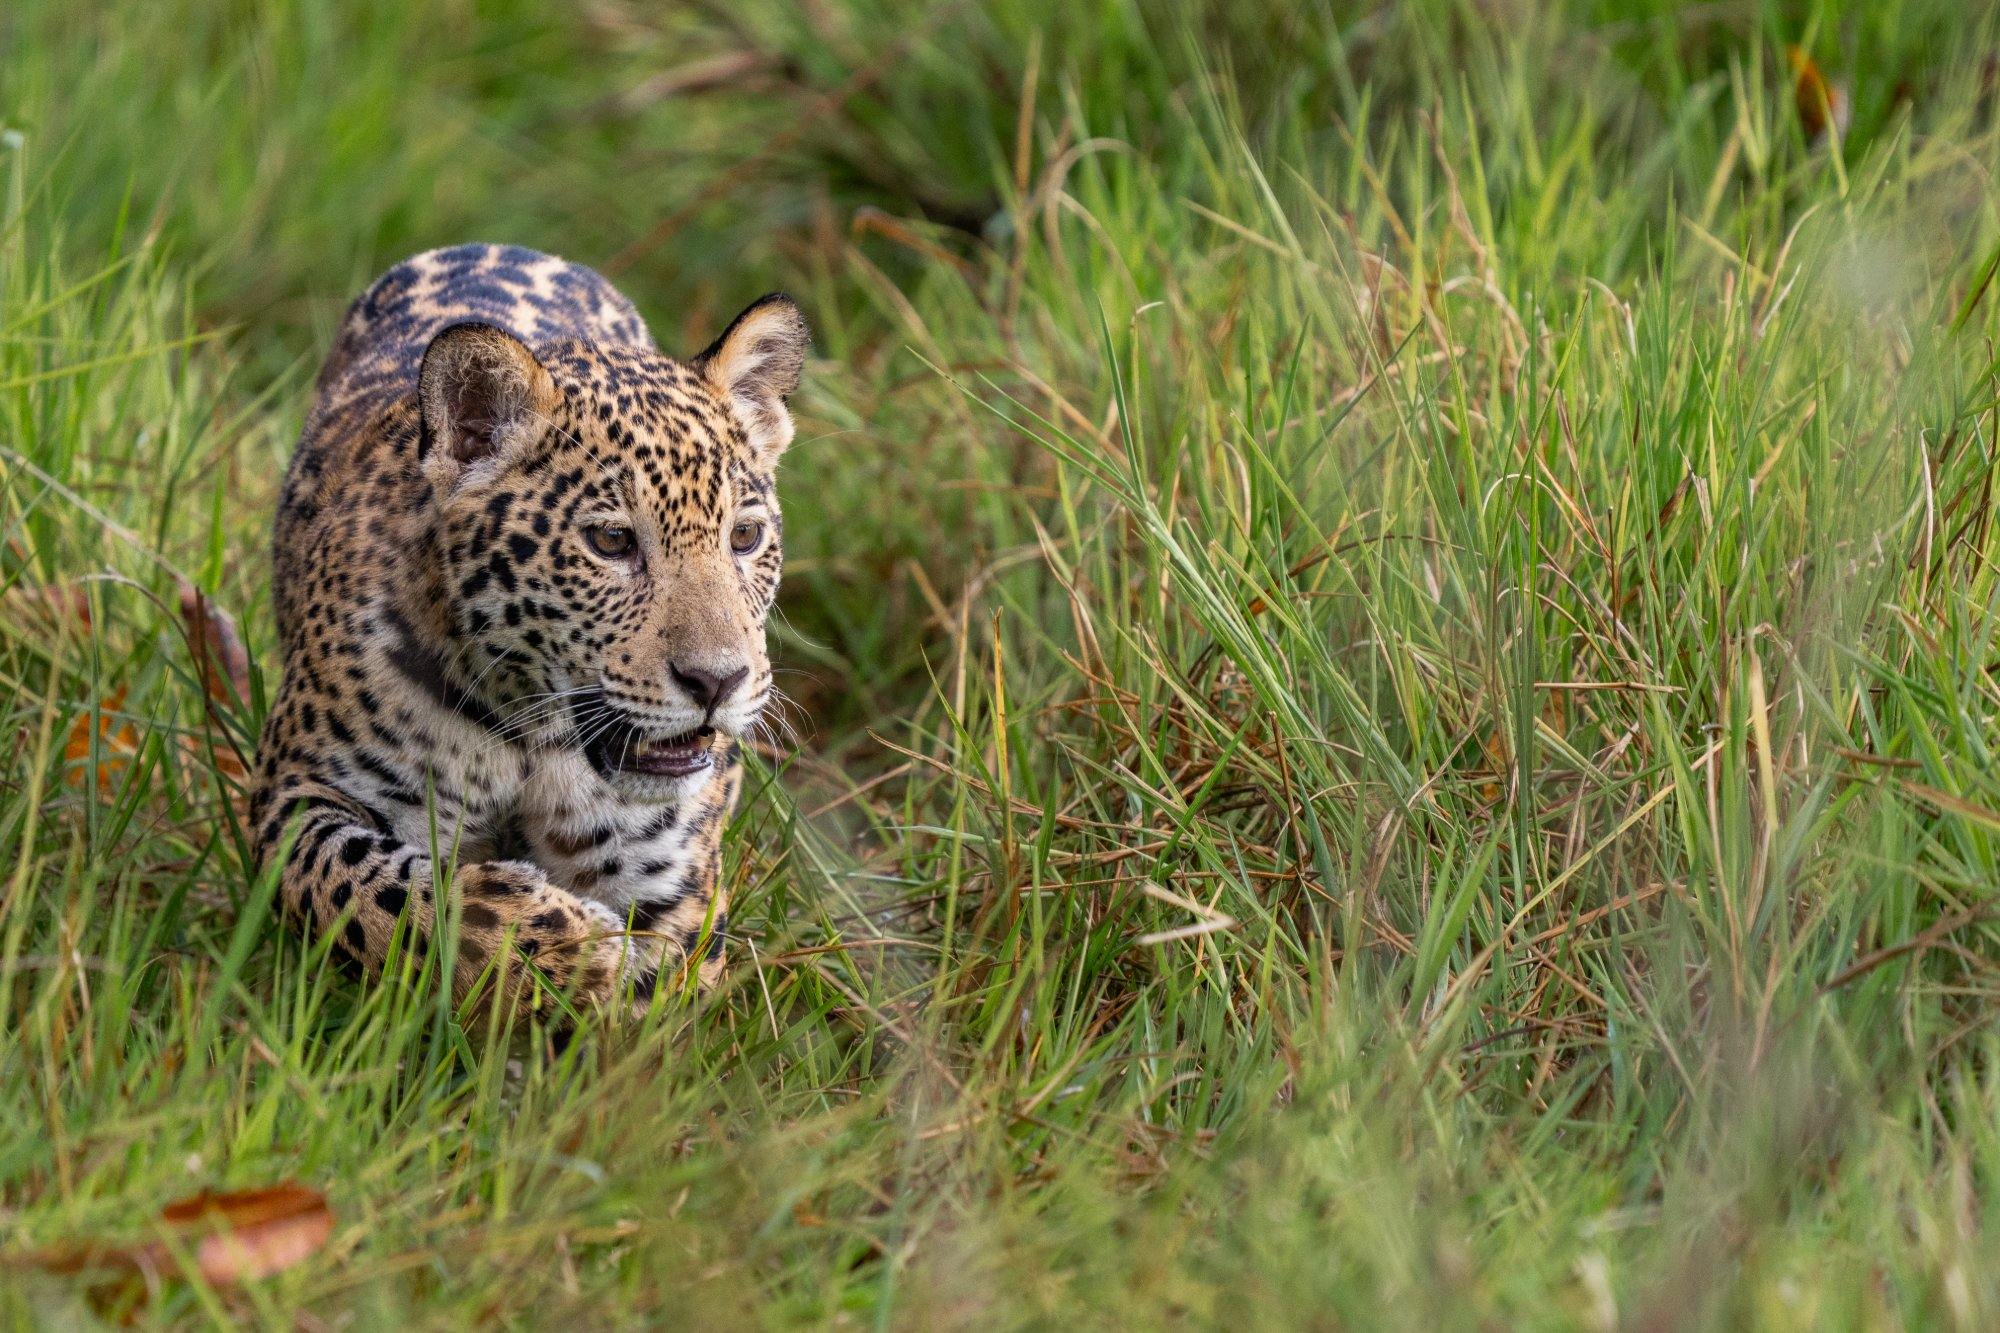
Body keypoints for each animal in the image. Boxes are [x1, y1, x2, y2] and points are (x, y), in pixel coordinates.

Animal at [249, 243, 807, 1015]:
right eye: (611, 542)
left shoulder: (664, 869)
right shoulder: (296, 793)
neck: (532, 732)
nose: (717, 682)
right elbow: (381, 895)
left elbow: (655, 1013)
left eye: (745, 537)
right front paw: (571, 954)